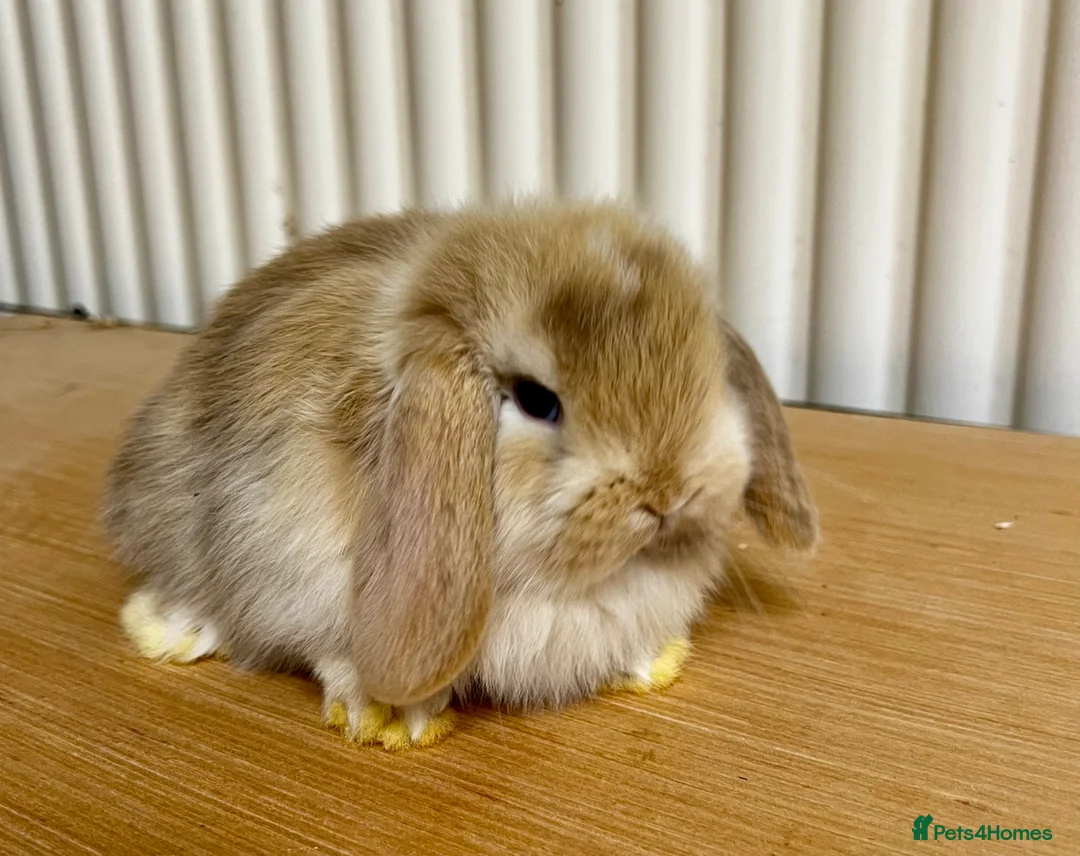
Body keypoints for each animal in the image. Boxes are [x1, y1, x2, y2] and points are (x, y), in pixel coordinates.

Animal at [101, 200, 818, 750]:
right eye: (535, 399)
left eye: (706, 371)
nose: (668, 492)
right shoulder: (291, 566)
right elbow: (330, 652)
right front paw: (388, 718)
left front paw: (655, 661)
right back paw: (168, 628)